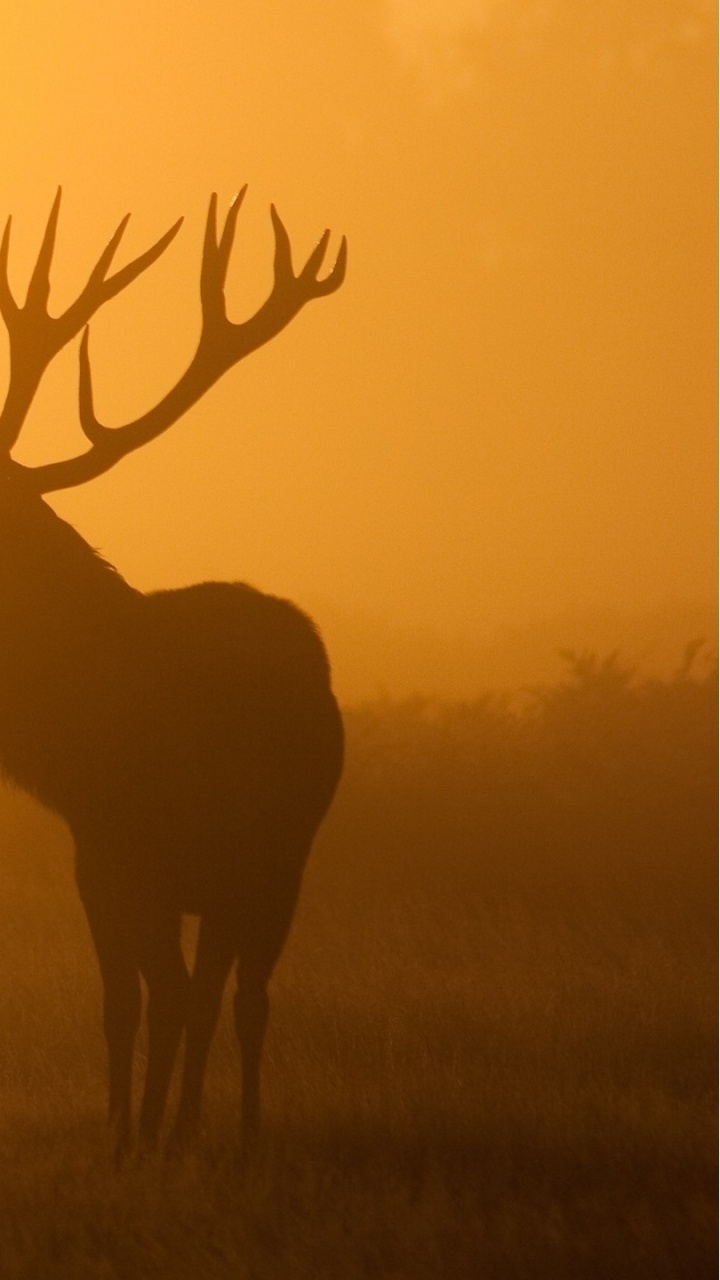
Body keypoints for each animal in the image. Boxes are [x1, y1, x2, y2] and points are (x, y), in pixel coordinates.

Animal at [0, 186, 345, 1162]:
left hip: (274, 859)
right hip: (236, 872)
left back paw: (230, 1127)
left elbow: (158, 998)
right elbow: (128, 1001)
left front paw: (141, 1138)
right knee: (211, 992)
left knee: (235, 995)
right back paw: (194, 1123)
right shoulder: (105, 859)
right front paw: (128, 1130)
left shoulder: (143, 857)